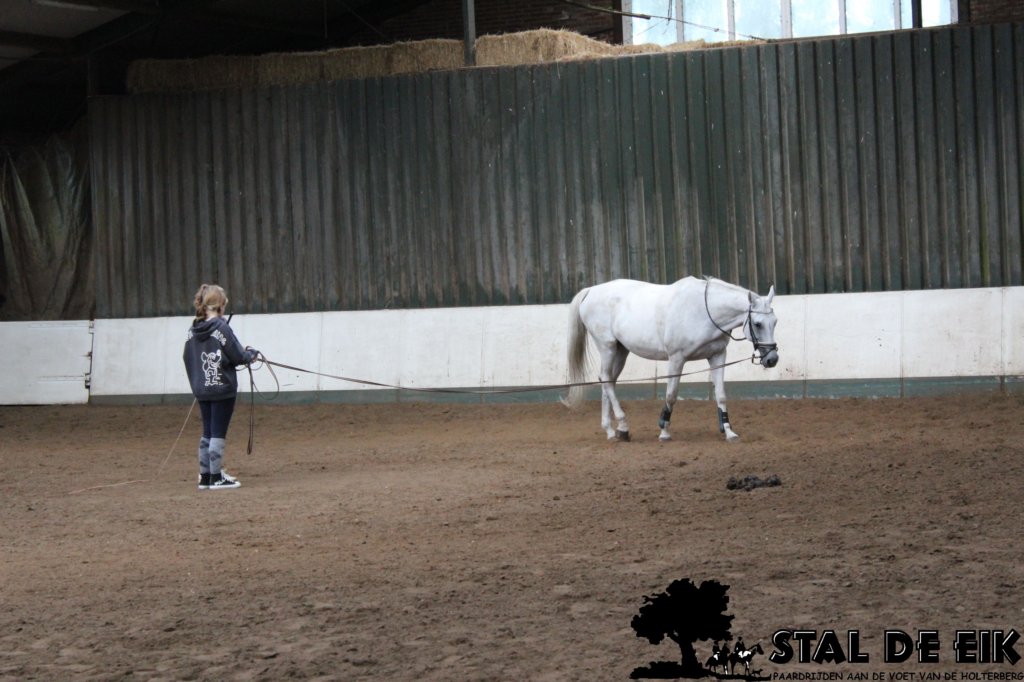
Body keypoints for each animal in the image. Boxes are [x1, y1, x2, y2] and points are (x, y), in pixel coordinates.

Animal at [562, 276, 778, 442]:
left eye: (775, 322)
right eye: (757, 324)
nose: (772, 359)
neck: (703, 310)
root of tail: (591, 291)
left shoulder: (717, 356)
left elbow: (721, 394)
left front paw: (729, 431)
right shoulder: (677, 358)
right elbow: (671, 395)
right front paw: (664, 431)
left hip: (620, 350)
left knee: (608, 381)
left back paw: (613, 431)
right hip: (607, 347)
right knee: (606, 379)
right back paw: (622, 425)